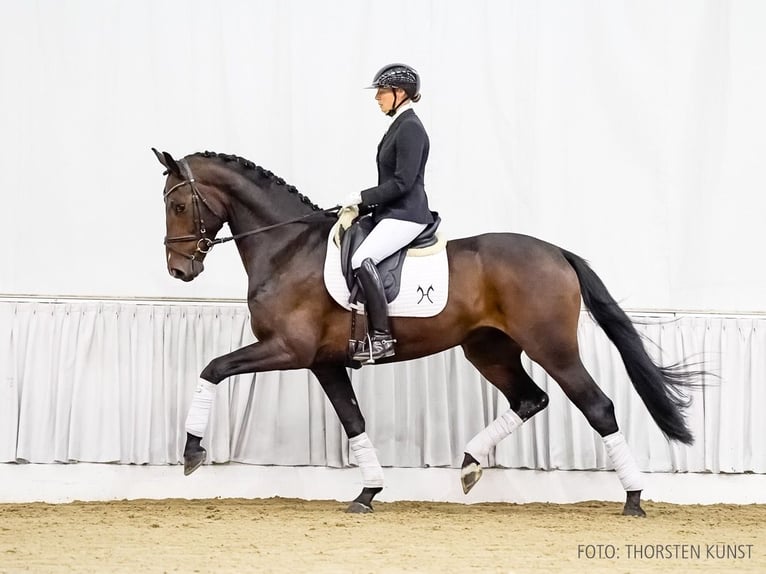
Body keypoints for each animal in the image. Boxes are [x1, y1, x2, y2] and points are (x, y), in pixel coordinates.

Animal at [154, 148, 704, 516]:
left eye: (178, 206)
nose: (180, 271)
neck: (288, 249)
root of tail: (556, 252)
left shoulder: (287, 349)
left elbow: (213, 368)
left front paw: (192, 451)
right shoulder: (324, 361)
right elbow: (354, 421)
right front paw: (368, 493)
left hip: (553, 347)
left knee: (597, 406)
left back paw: (633, 498)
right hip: (488, 349)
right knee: (530, 398)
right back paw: (470, 464)